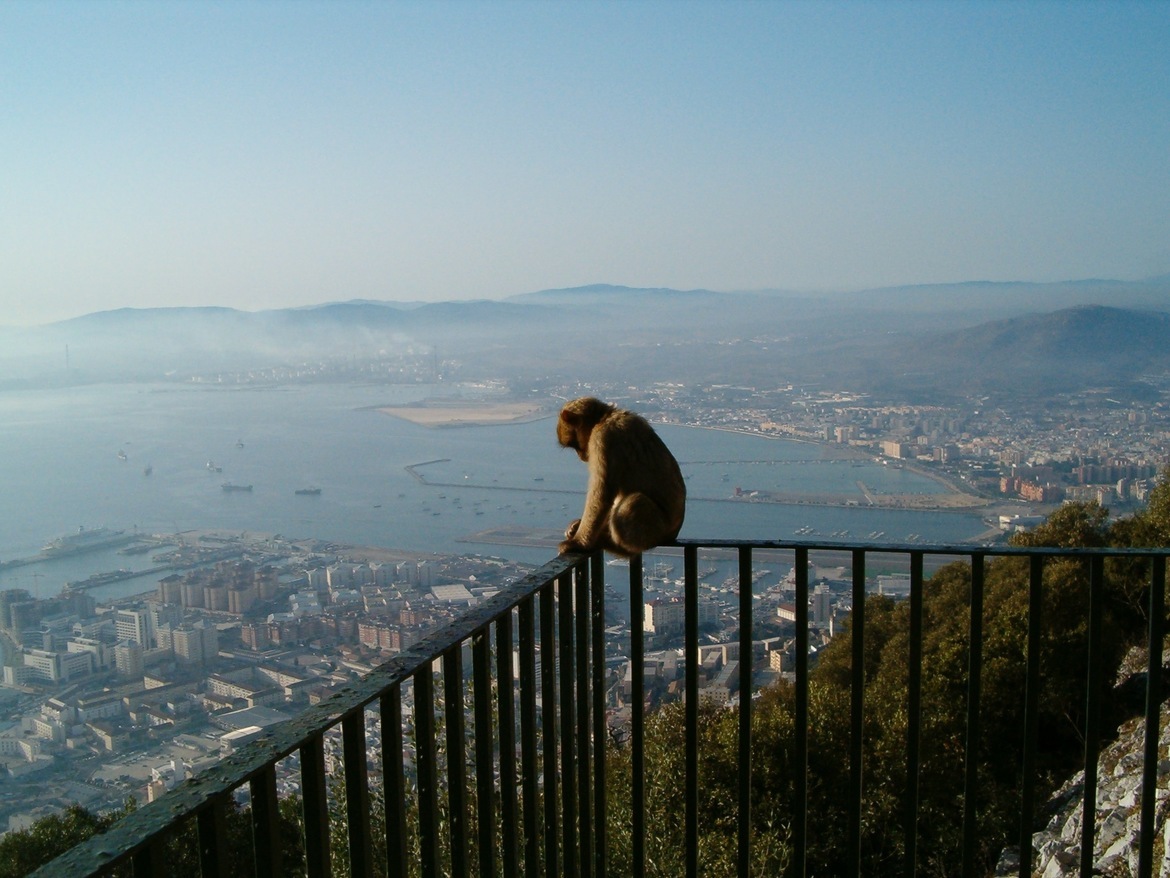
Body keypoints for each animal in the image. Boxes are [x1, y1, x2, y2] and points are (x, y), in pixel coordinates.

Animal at [557, 397, 686, 557]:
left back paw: (613, 544)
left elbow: (602, 493)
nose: (581, 456)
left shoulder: (604, 437)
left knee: (633, 502)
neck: (604, 418)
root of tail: (674, 534)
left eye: (574, 445)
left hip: (657, 531)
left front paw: (578, 543)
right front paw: (576, 526)